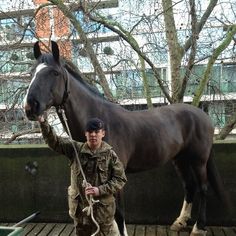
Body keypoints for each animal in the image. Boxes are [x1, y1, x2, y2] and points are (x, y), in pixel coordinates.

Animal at [24, 41, 227, 236]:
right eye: (32, 72)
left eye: (55, 73)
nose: (30, 106)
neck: (101, 122)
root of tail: (203, 115)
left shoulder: (116, 175)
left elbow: (119, 212)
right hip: (180, 159)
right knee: (189, 187)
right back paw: (180, 222)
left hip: (199, 160)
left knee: (202, 188)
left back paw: (199, 227)